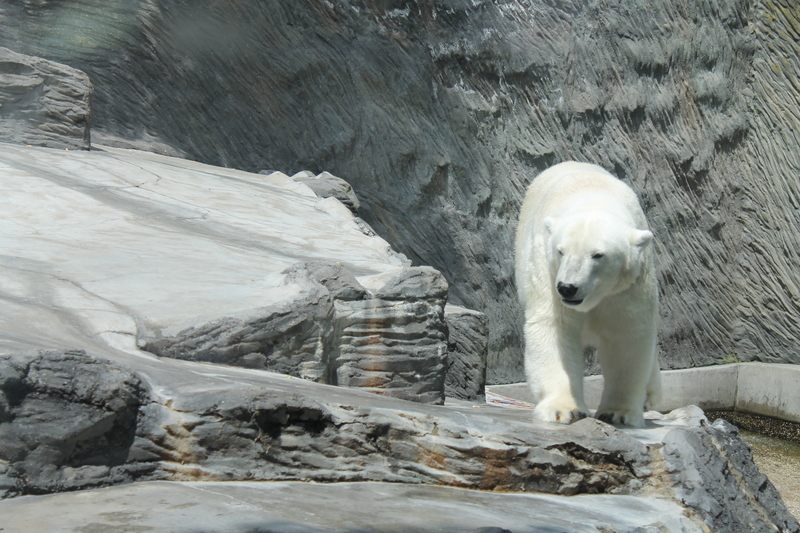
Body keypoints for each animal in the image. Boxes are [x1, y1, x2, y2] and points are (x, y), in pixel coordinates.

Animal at [516, 160, 660, 426]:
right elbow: (556, 327)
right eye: (561, 251)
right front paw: (563, 409)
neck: (592, 196)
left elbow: (626, 334)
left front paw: (618, 412)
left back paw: (651, 395)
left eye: (598, 255)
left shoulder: (630, 285)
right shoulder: (547, 271)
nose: (567, 287)